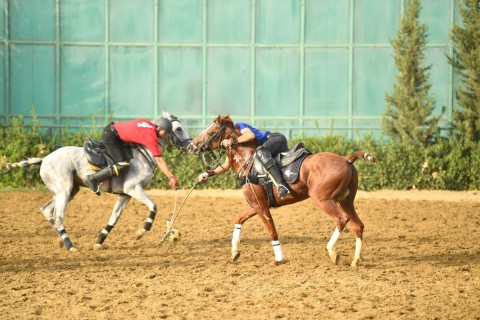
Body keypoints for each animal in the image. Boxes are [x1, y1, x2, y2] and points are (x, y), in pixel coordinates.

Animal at [6, 111, 191, 251]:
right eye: (179, 128)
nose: (192, 146)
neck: (144, 153)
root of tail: (44, 159)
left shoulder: (125, 194)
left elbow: (113, 218)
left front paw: (99, 241)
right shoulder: (133, 188)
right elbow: (153, 206)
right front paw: (141, 232)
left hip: (68, 191)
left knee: (47, 210)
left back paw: (61, 239)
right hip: (64, 190)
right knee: (58, 216)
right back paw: (69, 244)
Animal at [186, 115, 376, 268]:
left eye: (210, 132)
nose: (191, 147)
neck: (247, 162)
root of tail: (346, 159)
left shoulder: (262, 207)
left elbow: (272, 231)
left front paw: (278, 259)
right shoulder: (257, 205)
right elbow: (239, 219)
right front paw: (234, 252)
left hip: (323, 199)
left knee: (341, 219)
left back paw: (332, 251)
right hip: (345, 200)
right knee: (358, 225)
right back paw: (355, 261)